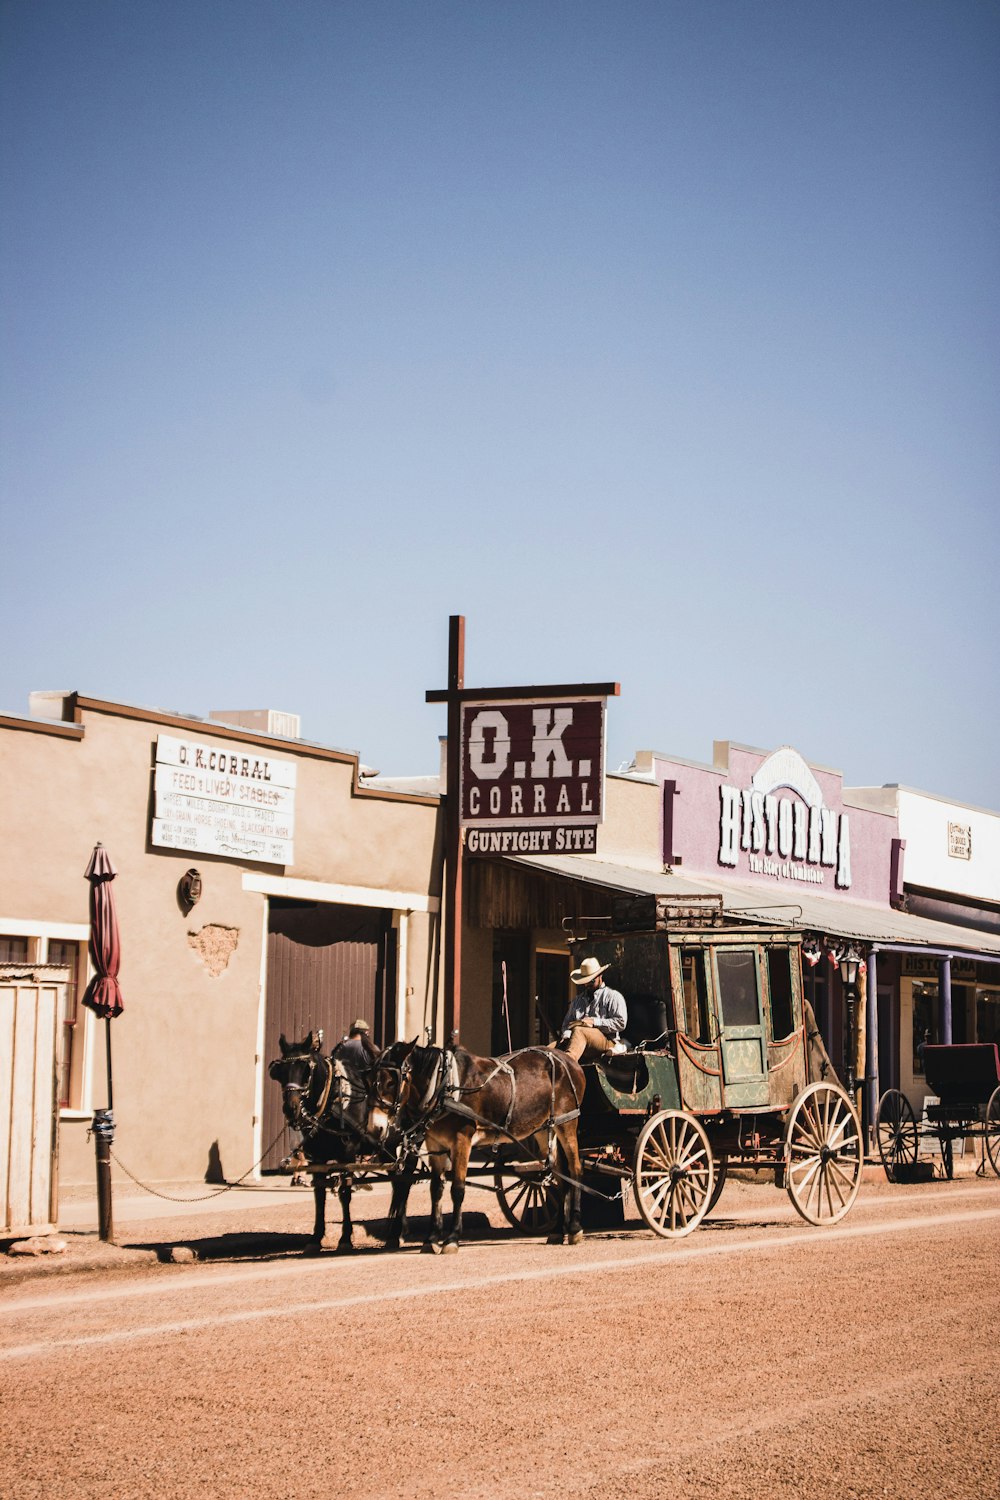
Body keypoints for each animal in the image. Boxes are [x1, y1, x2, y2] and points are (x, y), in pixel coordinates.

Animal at [265, 1032, 413, 1254]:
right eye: (280, 1071)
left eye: (306, 1071)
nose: (291, 1109)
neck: (333, 1099)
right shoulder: (317, 1156)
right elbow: (319, 1194)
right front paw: (316, 1238)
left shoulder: (348, 1154)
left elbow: (345, 1192)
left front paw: (345, 1238)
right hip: (386, 1149)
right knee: (398, 1182)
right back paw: (399, 1229)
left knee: (405, 1181)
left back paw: (397, 1233)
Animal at [371, 1044, 581, 1254]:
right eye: (373, 1080)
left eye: (391, 1082)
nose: (376, 1127)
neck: (445, 1086)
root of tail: (567, 1059)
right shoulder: (435, 1144)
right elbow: (436, 1190)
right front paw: (431, 1239)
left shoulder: (462, 1140)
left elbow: (457, 1189)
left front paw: (452, 1238)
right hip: (545, 1129)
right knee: (560, 1176)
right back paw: (557, 1231)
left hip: (567, 1123)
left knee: (575, 1170)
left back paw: (575, 1228)